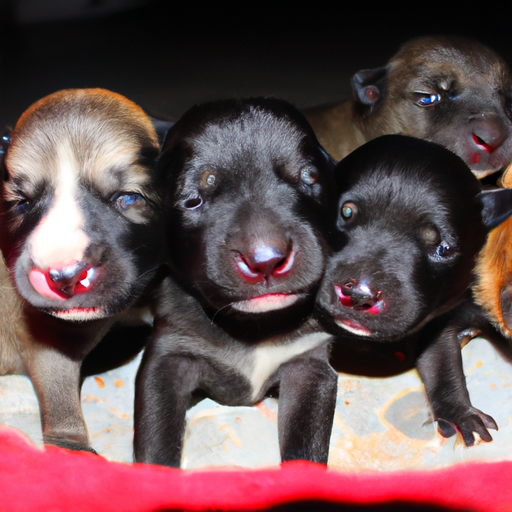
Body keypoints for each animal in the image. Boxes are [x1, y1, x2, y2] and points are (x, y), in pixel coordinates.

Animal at [0, 89, 166, 452]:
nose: (64, 276)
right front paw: (72, 446)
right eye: (23, 204)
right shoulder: (49, 338)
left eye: (127, 198)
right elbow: (59, 392)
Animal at [134, 97, 338, 468]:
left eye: (308, 177)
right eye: (192, 199)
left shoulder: (309, 365)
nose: (266, 259)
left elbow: (306, 447)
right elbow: (156, 437)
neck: (254, 326)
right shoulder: (169, 355)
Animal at [314, 134, 512, 446]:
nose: (358, 295)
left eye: (444, 248)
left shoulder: (437, 321)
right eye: (345, 212)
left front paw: (459, 412)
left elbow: (441, 362)